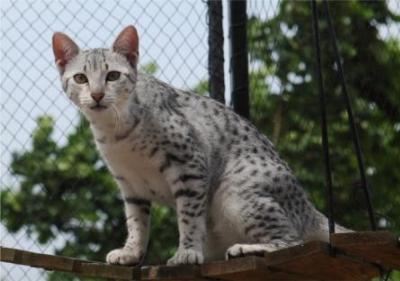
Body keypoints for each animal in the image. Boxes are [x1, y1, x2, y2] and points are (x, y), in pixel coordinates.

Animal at [51, 25, 348, 264]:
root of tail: (309, 208)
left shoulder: (189, 165)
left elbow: (189, 217)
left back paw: (246, 249)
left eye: (112, 76)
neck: (116, 131)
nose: (97, 95)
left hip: (236, 194)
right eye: (80, 78)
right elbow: (136, 222)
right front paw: (131, 253)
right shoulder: (130, 184)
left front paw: (187, 253)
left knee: (291, 240)